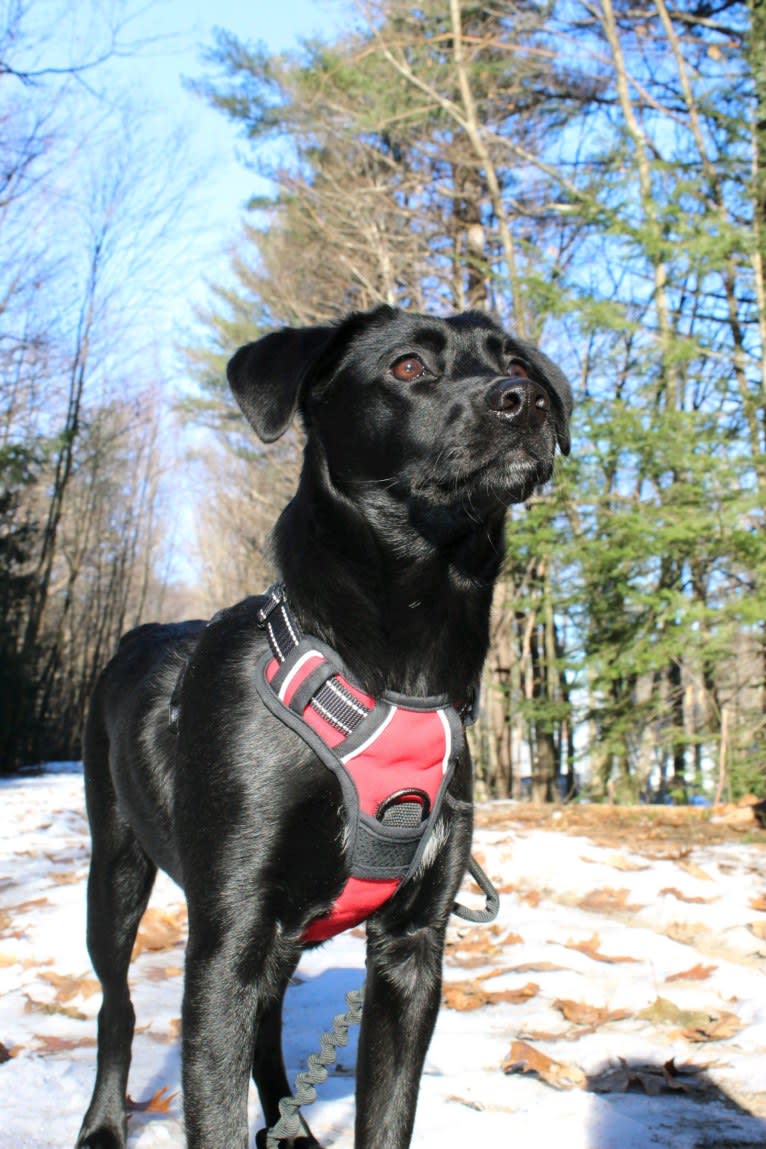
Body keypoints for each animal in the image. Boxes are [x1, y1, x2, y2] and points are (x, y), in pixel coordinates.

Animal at [78, 305, 571, 1149]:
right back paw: (106, 1123)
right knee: (119, 1003)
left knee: (269, 1022)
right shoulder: (226, 939)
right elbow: (212, 1108)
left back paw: (287, 1122)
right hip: (114, 873)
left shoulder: (412, 947)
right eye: (407, 367)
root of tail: (133, 636)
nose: (526, 401)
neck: (395, 676)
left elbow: (388, 1114)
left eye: (516, 364)